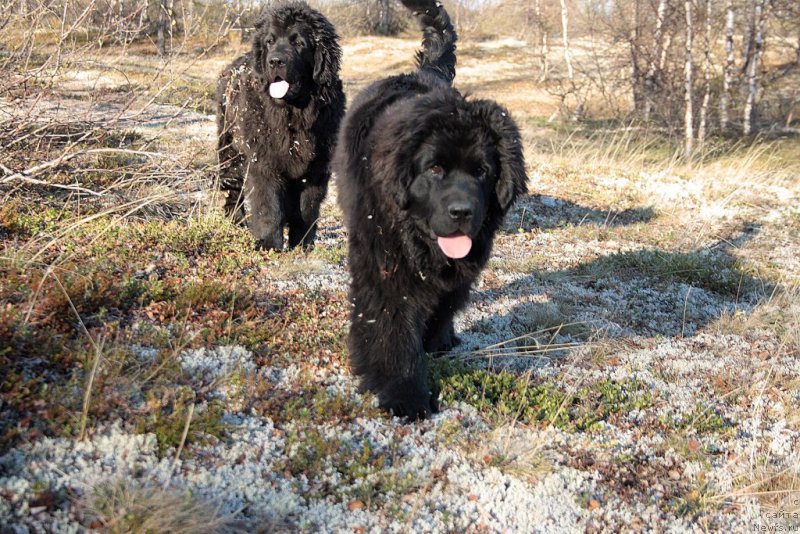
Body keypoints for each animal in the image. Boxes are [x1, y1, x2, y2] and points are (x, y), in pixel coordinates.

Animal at [217, 1, 346, 252]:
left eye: (298, 43)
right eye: (270, 41)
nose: (275, 61)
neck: (293, 114)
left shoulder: (315, 168)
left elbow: (307, 209)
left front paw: (302, 244)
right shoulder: (263, 162)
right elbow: (269, 207)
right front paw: (268, 245)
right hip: (231, 151)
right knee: (232, 190)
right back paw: (236, 222)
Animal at [334, 0, 528, 422]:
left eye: (482, 172)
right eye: (435, 169)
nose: (462, 212)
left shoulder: (464, 268)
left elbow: (444, 304)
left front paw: (436, 341)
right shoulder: (383, 266)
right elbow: (390, 330)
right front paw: (404, 394)